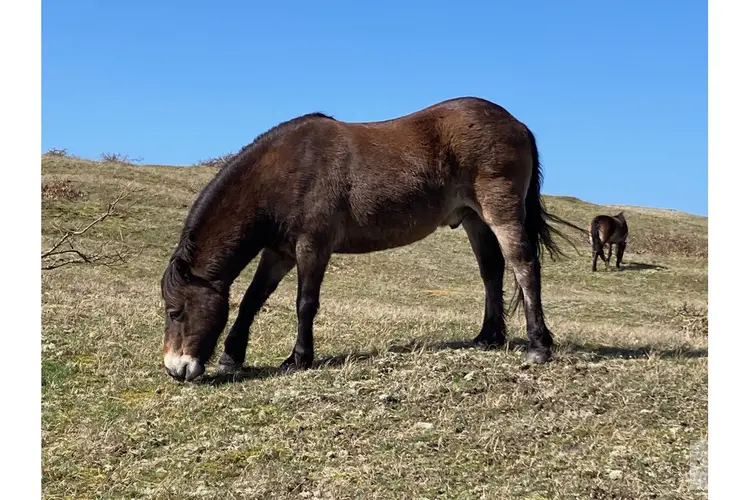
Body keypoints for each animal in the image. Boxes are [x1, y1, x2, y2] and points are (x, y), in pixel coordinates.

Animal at [159, 96, 580, 382]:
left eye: (175, 311)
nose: (175, 368)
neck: (285, 170)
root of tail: (516, 123)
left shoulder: (312, 246)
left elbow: (304, 303)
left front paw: (298, 358)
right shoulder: (279, 252)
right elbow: (251, 300)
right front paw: (231, 358)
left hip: (501, 212)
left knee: (524, 267)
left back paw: (538, 346)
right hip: (475, 220)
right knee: (492, 272)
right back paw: (488, 336)